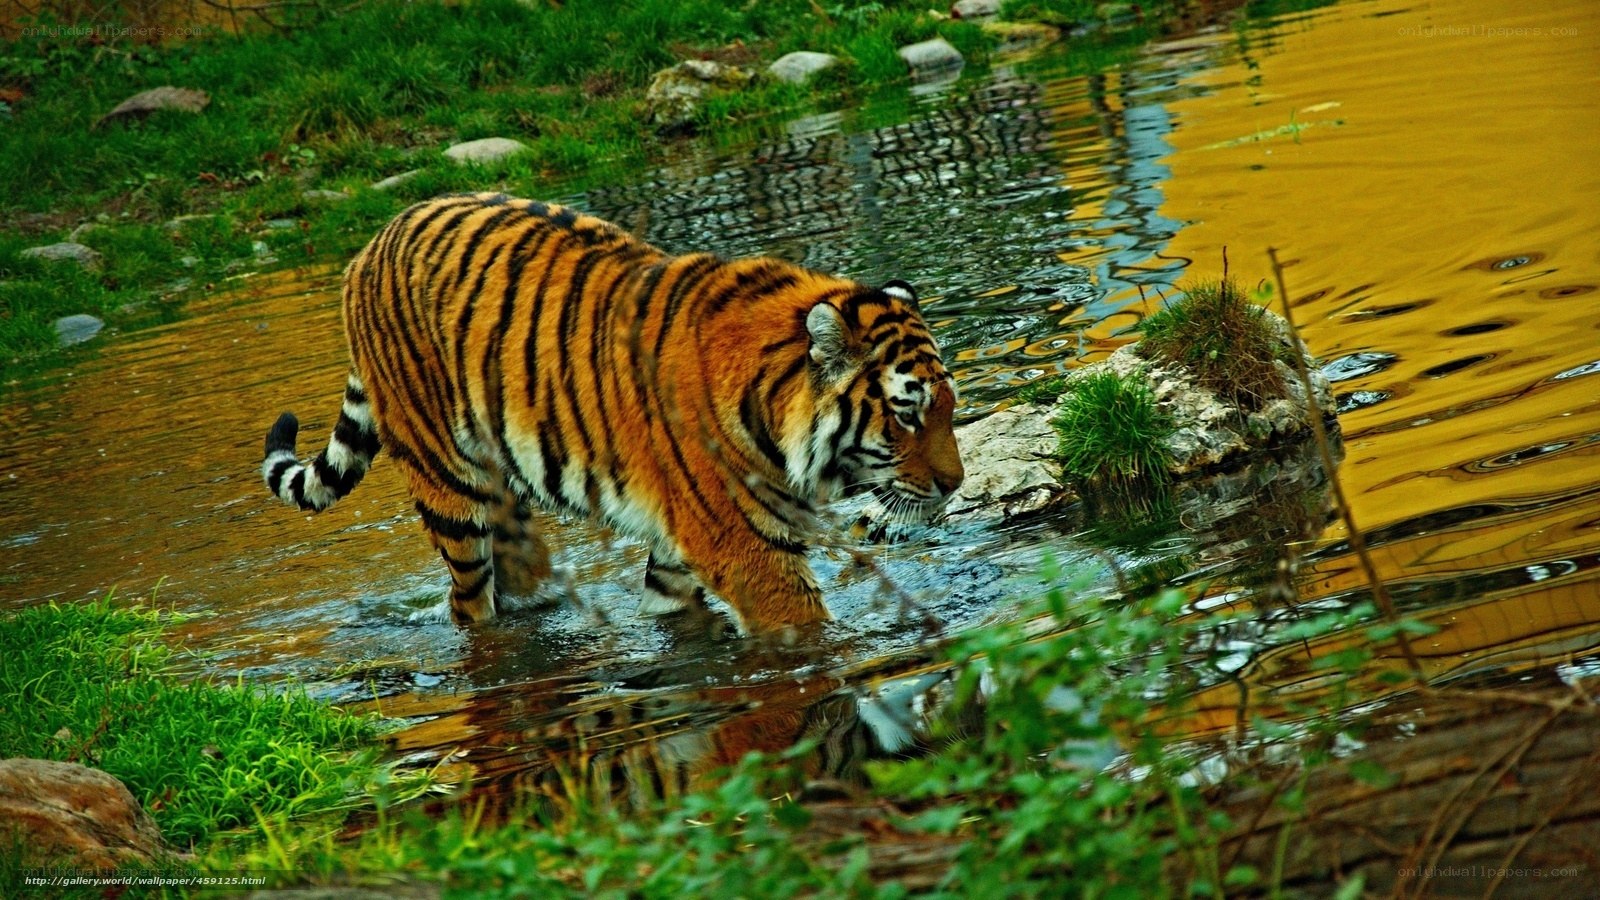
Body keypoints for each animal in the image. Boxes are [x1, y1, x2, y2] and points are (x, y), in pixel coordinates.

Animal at [259, 191, 963, 635]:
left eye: (949, 406)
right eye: (907, 413)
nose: (955, 483)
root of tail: (369, 246)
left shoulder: (684, 547)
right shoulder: (747, 548)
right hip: (448, 485)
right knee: (468, 607)